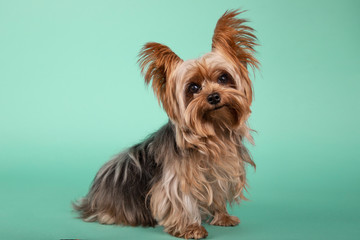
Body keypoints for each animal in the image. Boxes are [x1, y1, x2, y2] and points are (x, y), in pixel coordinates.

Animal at [74, 9, 258, 238]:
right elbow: (181, 200)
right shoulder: (176, 179)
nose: (214, 96)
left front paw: (223, 217)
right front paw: (190, 228)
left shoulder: (220, 170)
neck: (213, 132)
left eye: (224, 78)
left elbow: (217, 192)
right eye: (193, 87)